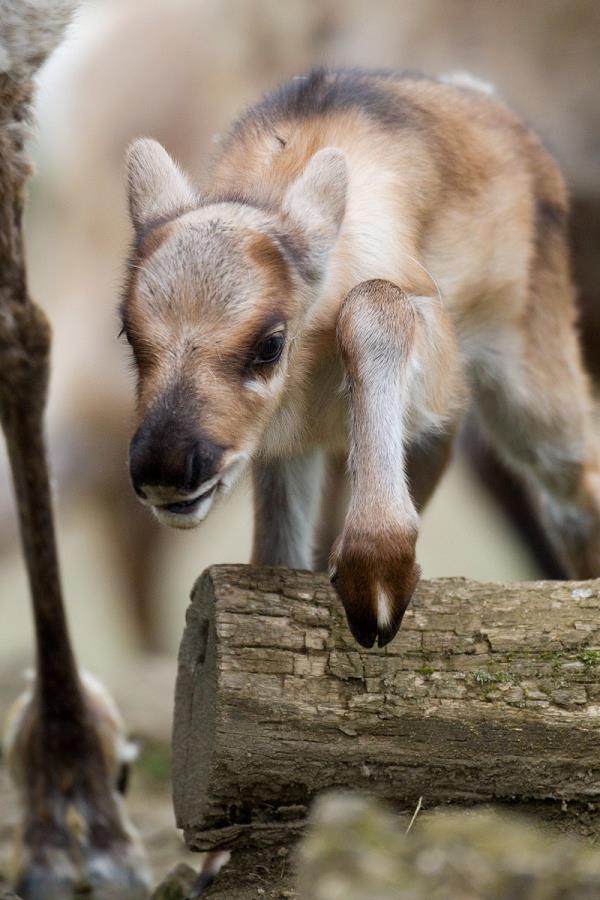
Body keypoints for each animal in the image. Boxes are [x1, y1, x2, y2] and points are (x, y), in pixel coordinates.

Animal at [120, 68, 600, 648]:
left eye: (270, 344)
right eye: (127, 333)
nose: (164, 469)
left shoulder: (436, 364)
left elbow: (373, 302)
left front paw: (377, 573)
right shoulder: (287, 449)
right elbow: (276, 557)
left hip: (534, 389)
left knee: (576, 487)